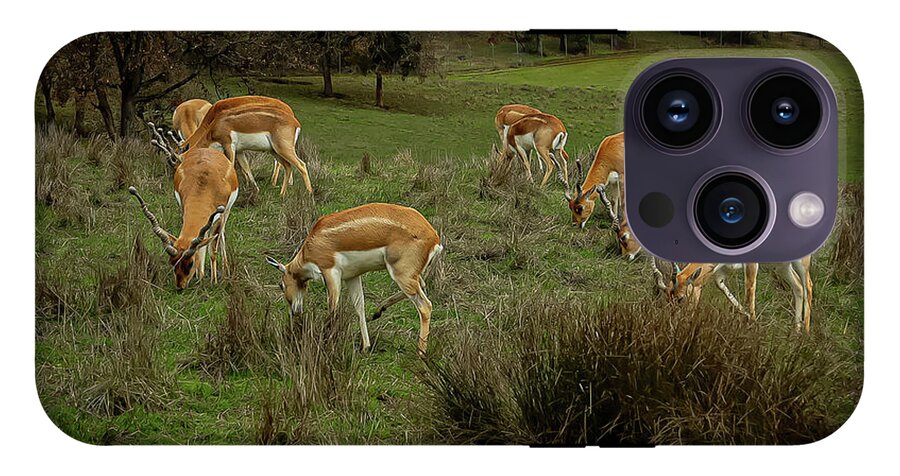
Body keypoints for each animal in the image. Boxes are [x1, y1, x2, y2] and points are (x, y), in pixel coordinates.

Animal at [130, 125, 239, 290]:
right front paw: (200, 276)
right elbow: (201, 243)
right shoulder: (184, 208)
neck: (204, 185)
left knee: (221, 235)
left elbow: (213, 248)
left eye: (190, 263)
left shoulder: (219, 216)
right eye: (172, 262)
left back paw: (225, 267)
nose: (180, 287)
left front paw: (213, 281)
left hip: (226, 212)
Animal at [179, 95, 311, 197]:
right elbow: (246, 168)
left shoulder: (229, 146)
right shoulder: (239, 151)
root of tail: (295, 122)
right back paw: (282, 193)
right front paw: (254, 189)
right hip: (275, 150)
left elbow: (231, 167)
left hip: (283, 149)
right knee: (288, 166)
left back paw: (309, 194)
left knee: (301, 165)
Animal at [265, 203, 443, 355]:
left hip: (401, 274)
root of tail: (434, 237)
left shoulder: (330, 272)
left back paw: (420, 352)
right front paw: (366, 346)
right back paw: (378, 311)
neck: (312, 244)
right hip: (409, 275)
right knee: (422, 285)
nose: (295, 312)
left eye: (281, 285)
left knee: (425, 306)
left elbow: (333, 308)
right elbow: (359, 307)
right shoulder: (352, 277)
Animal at [652, 256, 814, 332]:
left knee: (808, 286)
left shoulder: (751, 264)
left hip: (801, 263)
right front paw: (749, 319)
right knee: (798, 286)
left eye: (681, 298)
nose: (674, 323)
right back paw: (796, 332)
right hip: (781, 266)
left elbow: (749, 293)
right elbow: (724, 290)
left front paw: (752, 326)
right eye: (668, 299)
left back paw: (806, 333)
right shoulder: (720, 272)